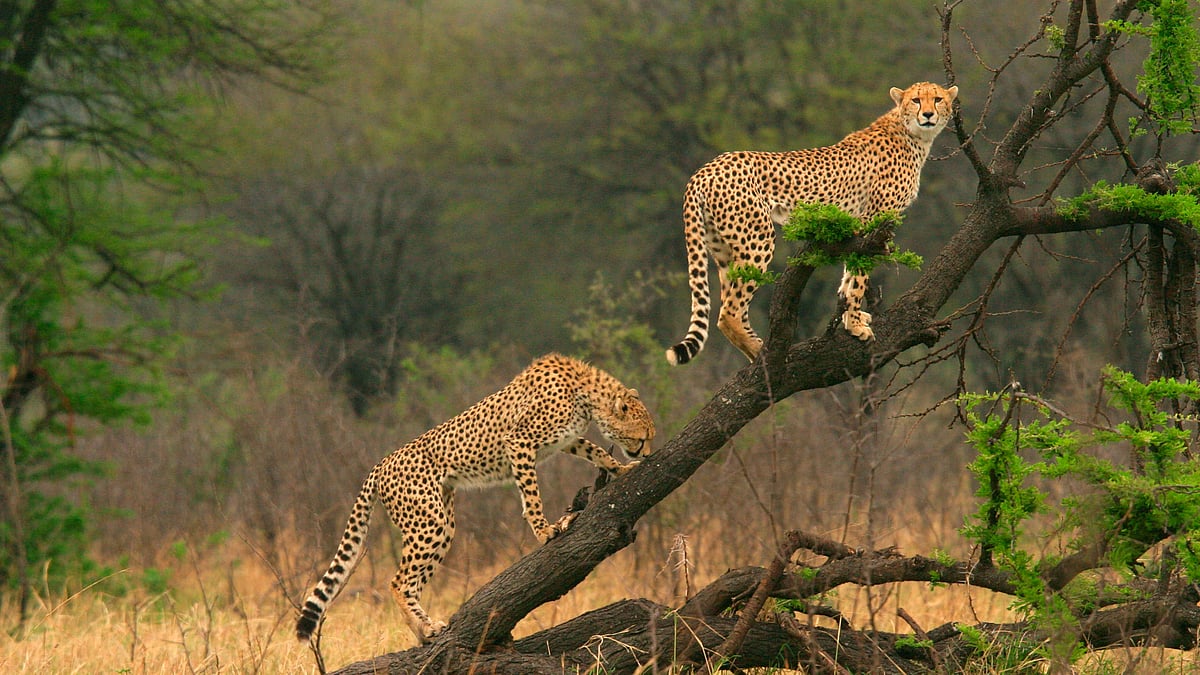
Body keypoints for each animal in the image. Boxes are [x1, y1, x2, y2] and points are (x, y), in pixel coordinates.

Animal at [294, 353, 655, 645]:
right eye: (642, 438)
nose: (648, 454)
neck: (584, 393)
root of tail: (380, 463)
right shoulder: (519, 442)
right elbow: (532, 494)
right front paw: (544, 530)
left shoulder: (565, 440)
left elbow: (595, 451)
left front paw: (621, 468)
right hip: (429, 522)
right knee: (398, 582)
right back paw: (424, 629)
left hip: (441, 525)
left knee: (412, 581)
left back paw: (426, 630)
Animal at [665, 81, 959, 365]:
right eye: (917, 100)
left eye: (938, 99)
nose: (928, 114)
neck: (911, 134)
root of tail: (706, 168)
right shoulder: (873, 225)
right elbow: (859, 277)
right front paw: (855, 325)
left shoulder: (854, 230)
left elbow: (848, 277)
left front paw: (850, 318)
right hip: (757, 240)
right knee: (728, 312)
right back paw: (762, 355)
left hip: (724, 248)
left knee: (731, 302)